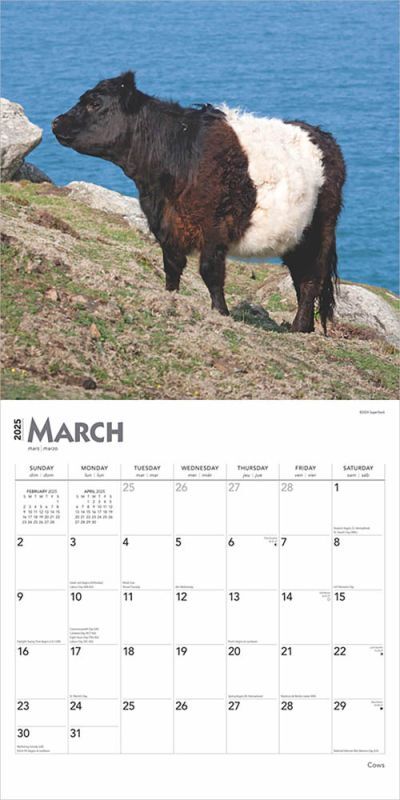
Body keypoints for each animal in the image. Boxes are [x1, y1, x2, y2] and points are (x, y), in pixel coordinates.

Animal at [52, 71, 346, 333]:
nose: (56, 121)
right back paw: (304, 327)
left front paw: (221, 312)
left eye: (95, 103)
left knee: (312, 278)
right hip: (297, 236)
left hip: (320, 229)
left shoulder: (214, 228)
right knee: (301, 276)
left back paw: (298, 327)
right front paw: (170, 298)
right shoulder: (166, 225)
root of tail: (324, 137)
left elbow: (210, 272)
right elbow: (172, 267)